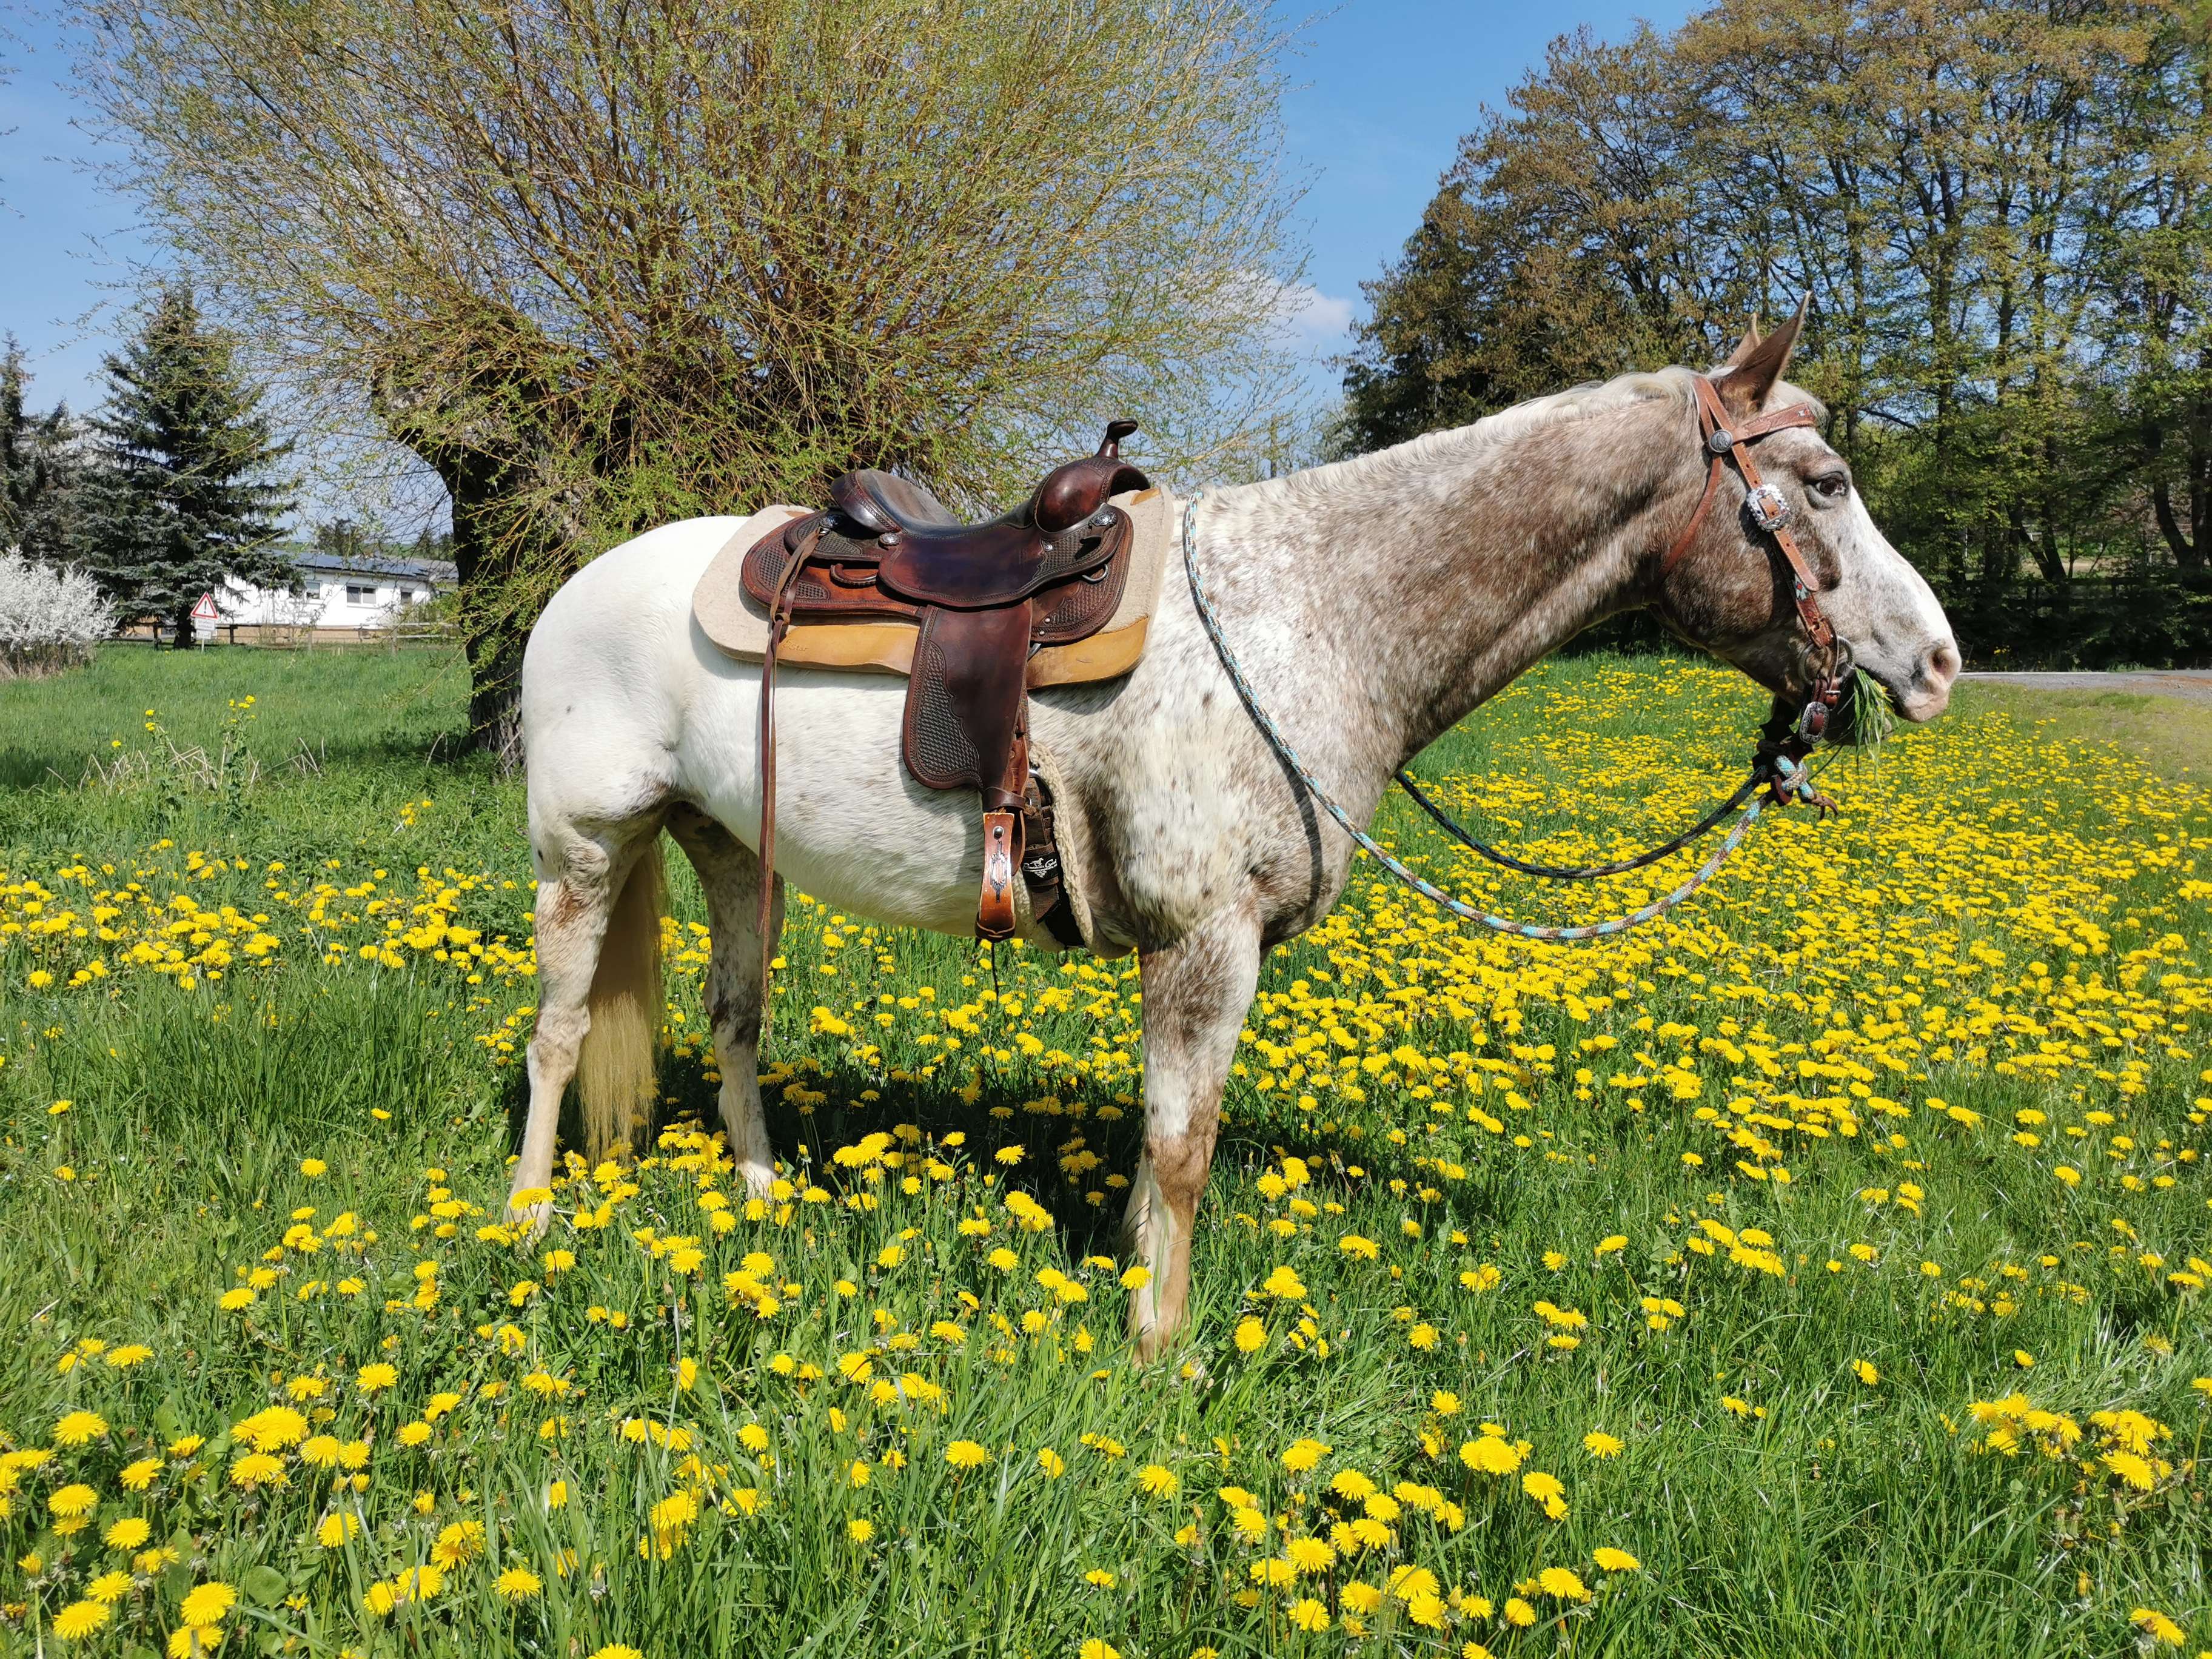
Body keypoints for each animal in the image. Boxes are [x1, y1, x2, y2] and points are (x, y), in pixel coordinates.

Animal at [505, 315, 1958, 1359]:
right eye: (1824, 482)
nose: (1938, 664)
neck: (1313, 613)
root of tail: (582, 583)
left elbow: (1164, 1144)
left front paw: (1140, 1285)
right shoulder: (1205, 942)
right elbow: (1185, 1145)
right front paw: (1161, 1348)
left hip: (726, 849)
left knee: (734, 1019)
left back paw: (760, 1201)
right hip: (584, 850)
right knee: (560, 1033)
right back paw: (524, 1220)